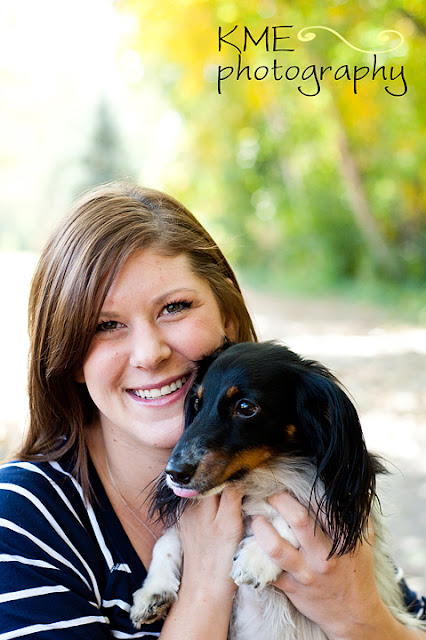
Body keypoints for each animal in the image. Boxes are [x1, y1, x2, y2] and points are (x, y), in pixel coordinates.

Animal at [130, 341, 424, 638]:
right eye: (197, 403)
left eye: (245, 407)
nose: (174, 473)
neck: (263, 477)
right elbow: (166, 540)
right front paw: (154, 589)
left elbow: (298, 515)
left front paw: (255, 557)